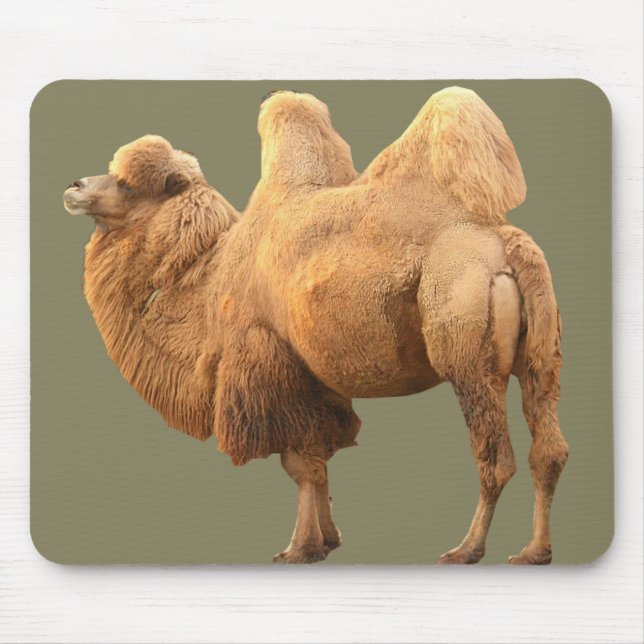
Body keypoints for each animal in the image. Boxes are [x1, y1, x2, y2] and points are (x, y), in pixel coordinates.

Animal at [63, 87, 568, 565]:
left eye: (127, 184)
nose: (73, 185)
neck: (209, 280)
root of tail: (506, 244)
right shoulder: (315, 377)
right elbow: (319, 456)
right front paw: (327, 539)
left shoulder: (267, 362)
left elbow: (299, 462)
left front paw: (299, 548)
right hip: (542, 355)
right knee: (548, 450)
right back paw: (534, 551)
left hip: (466, 349)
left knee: (495, 459)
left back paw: (466, 550)